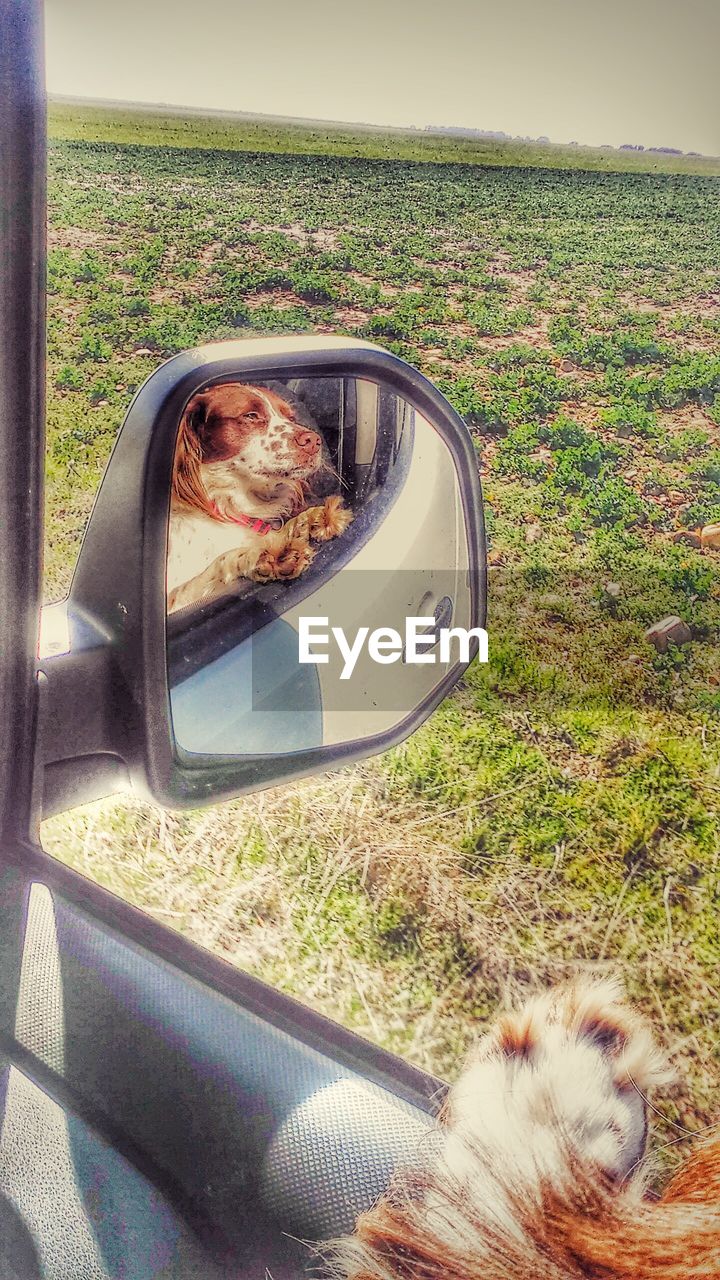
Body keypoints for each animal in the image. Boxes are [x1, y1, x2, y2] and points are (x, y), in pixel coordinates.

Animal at [165, 381, 351, 611]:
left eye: (290, 417)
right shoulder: (172, 600)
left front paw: (313, 520)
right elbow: (220, 562)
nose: (314, 441)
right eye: (251, 416)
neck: (228, 504)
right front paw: (274, 556)